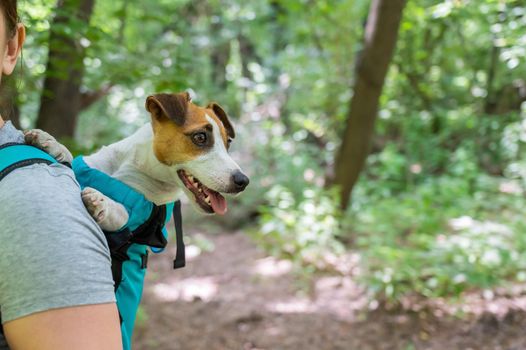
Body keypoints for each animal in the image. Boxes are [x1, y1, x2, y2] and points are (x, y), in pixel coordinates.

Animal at [22, 90, 250, 232]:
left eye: (228, 142)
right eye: (200, 137)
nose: (243, 181)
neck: (142, 166)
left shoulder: (143, 212)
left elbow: (124, 214)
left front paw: (103, 203)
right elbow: (71, 159)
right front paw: (51, 143)